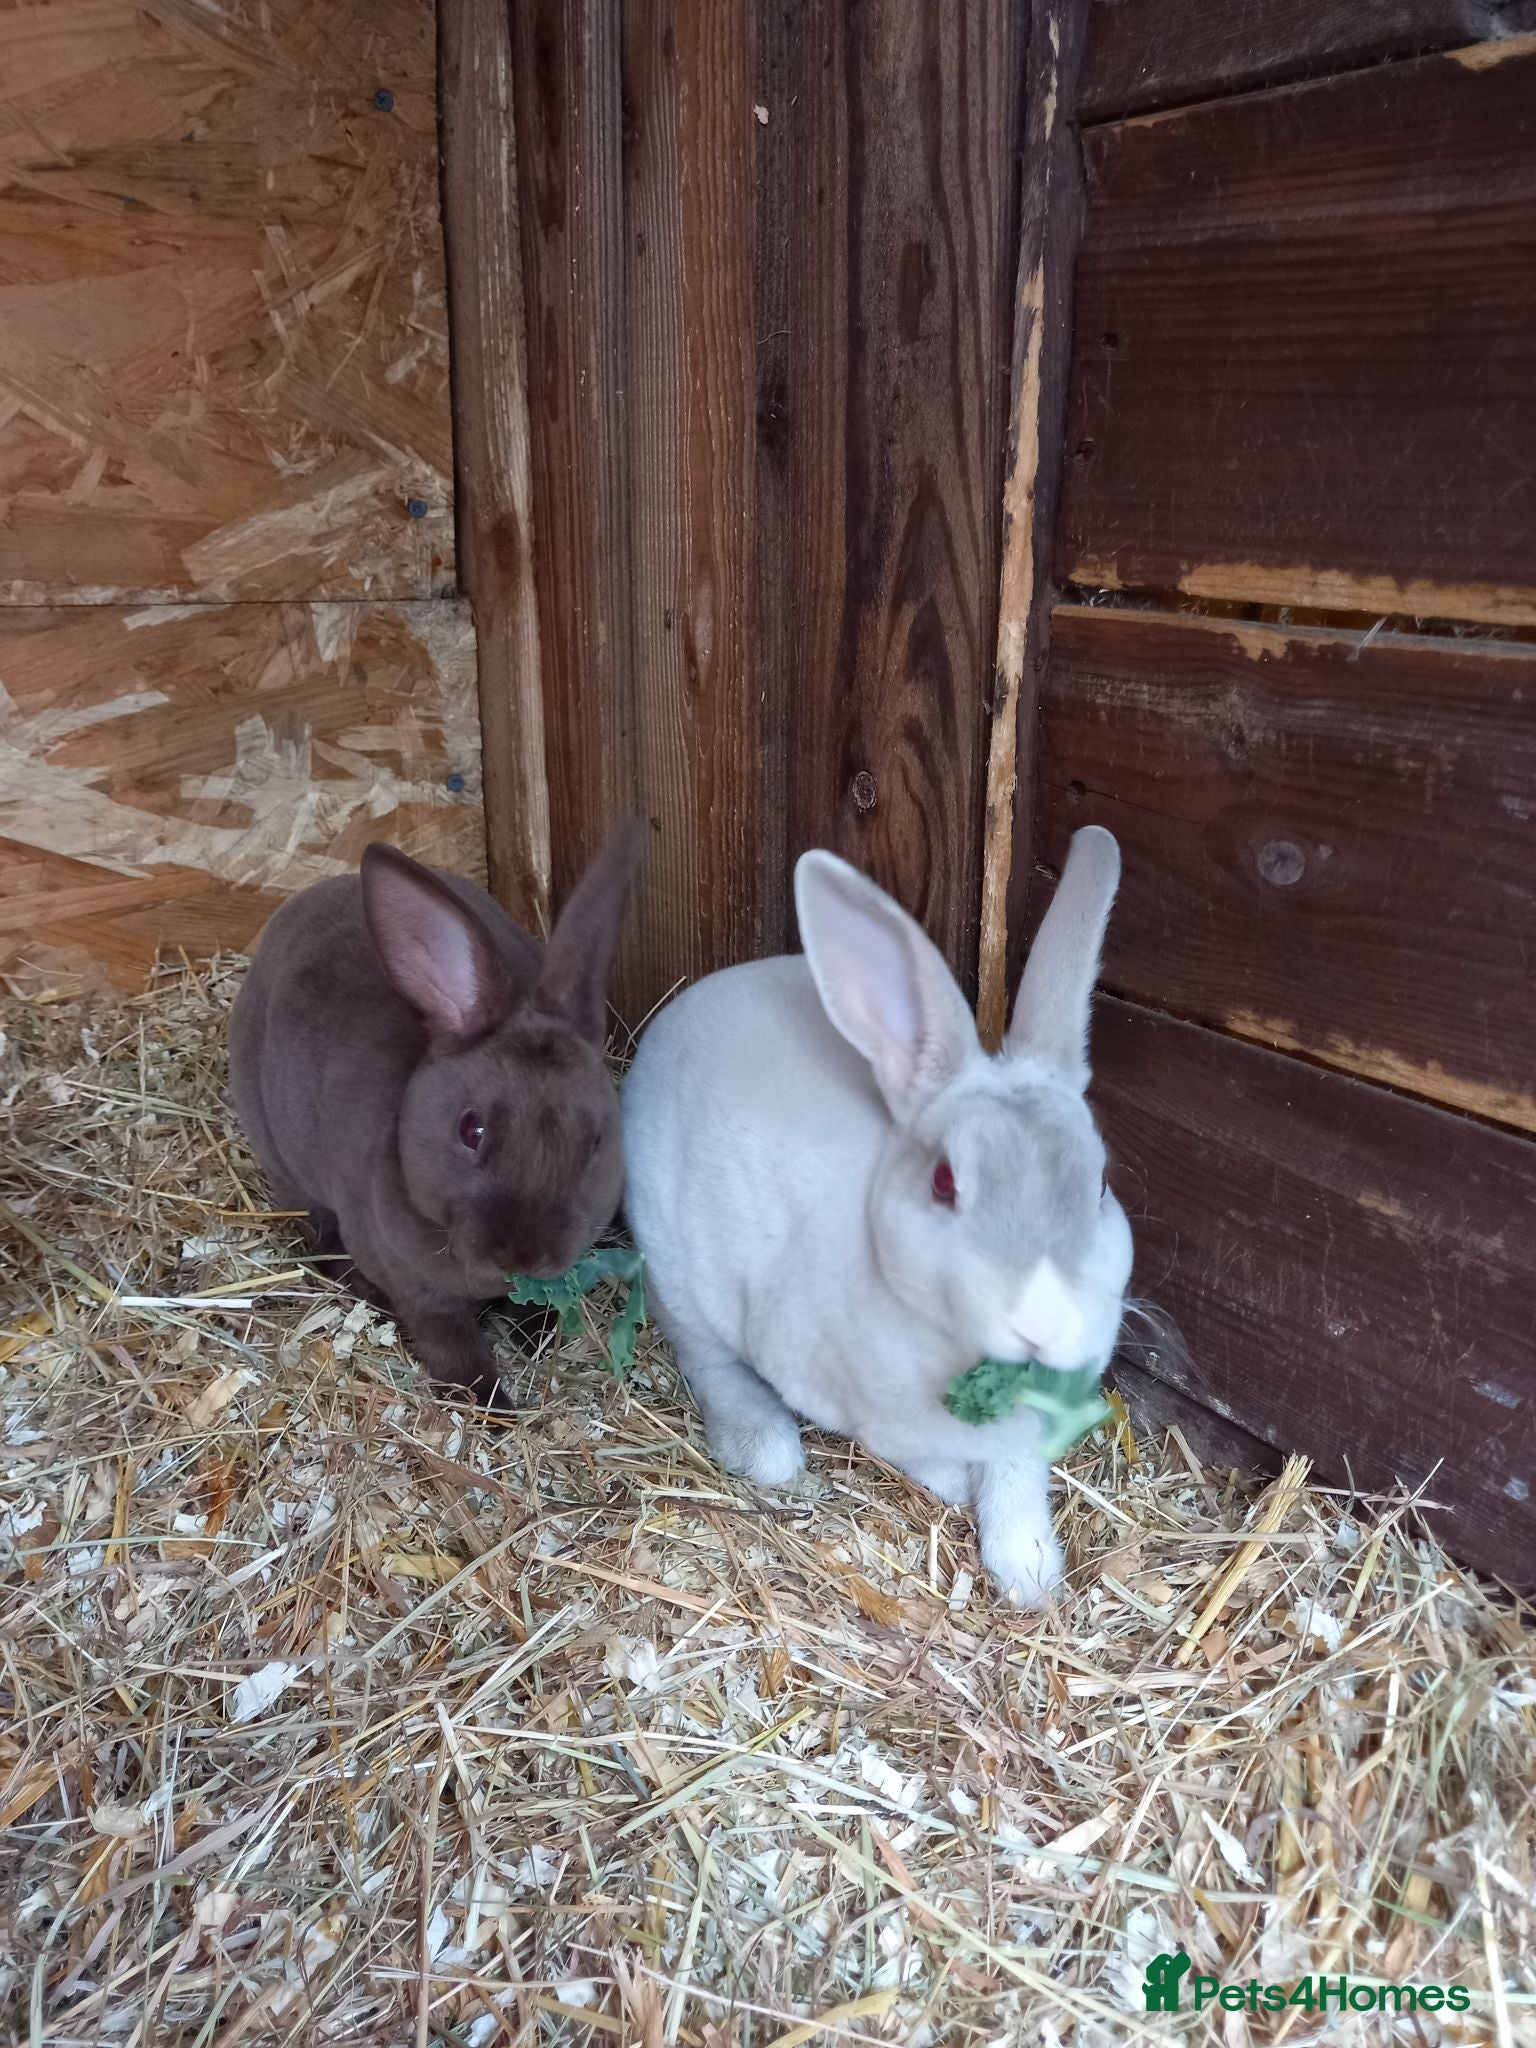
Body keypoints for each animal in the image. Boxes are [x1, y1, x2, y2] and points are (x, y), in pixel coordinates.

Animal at [230, 820, 645, 1404]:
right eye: (472, 1129)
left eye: (597, 1142)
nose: (523, 1255)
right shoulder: (421, 1295)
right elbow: (452, 1348)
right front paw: (492, 1405)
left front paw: (535, 1336)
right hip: (289, 1172)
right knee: (319, 1239)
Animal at [622, 825, 1131, 1605]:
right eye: (946, 1182)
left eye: (1099, 1183)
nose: (1043, 1320)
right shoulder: (846, 1396)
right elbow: (915, 1452)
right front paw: (959, 1490)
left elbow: (1016, 1479)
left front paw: (1031, 1575)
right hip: (678, 1277)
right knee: (705, 1356)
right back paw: (761, 1439)